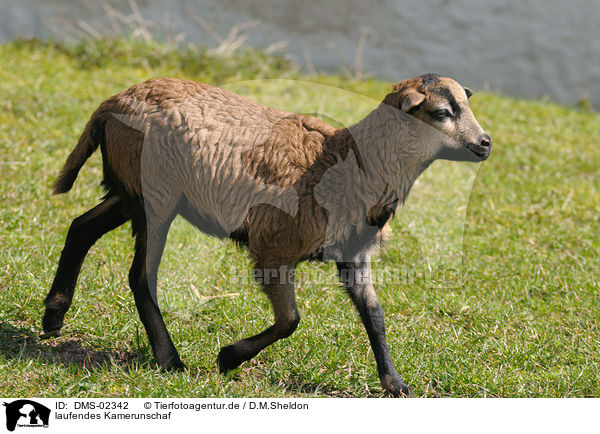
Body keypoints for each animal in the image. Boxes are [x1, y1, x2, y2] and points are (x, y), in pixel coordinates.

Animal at [43, 74, 492, 396]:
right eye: (442, 111)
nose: (486, 143)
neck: (347, 161)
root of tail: (111, 103)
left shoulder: (353, 254)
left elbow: (374, 316)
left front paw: (394, 384)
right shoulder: (273, 247)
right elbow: (291, 319)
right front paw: (228, 358)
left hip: (129, 190)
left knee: (81, 227)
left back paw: (54, 315)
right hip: (155, 195)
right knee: (140, 275)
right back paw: (170, 360)